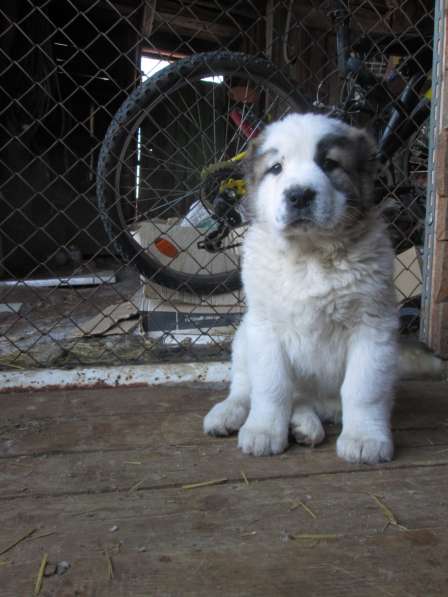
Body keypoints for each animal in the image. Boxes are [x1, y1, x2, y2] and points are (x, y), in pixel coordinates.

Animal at [205, 113, 398, 466]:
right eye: (276, 168)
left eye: (329, 163)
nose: (299, 195)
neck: (310, 256)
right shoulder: (265, 328)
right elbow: (271, 386)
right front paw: (264, 431)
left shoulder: (373, 325)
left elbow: (364, 389)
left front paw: (365, 438)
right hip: (243, 336)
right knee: (244, 387)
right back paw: (228, 414)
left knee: (306, 402)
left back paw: (304, 424)